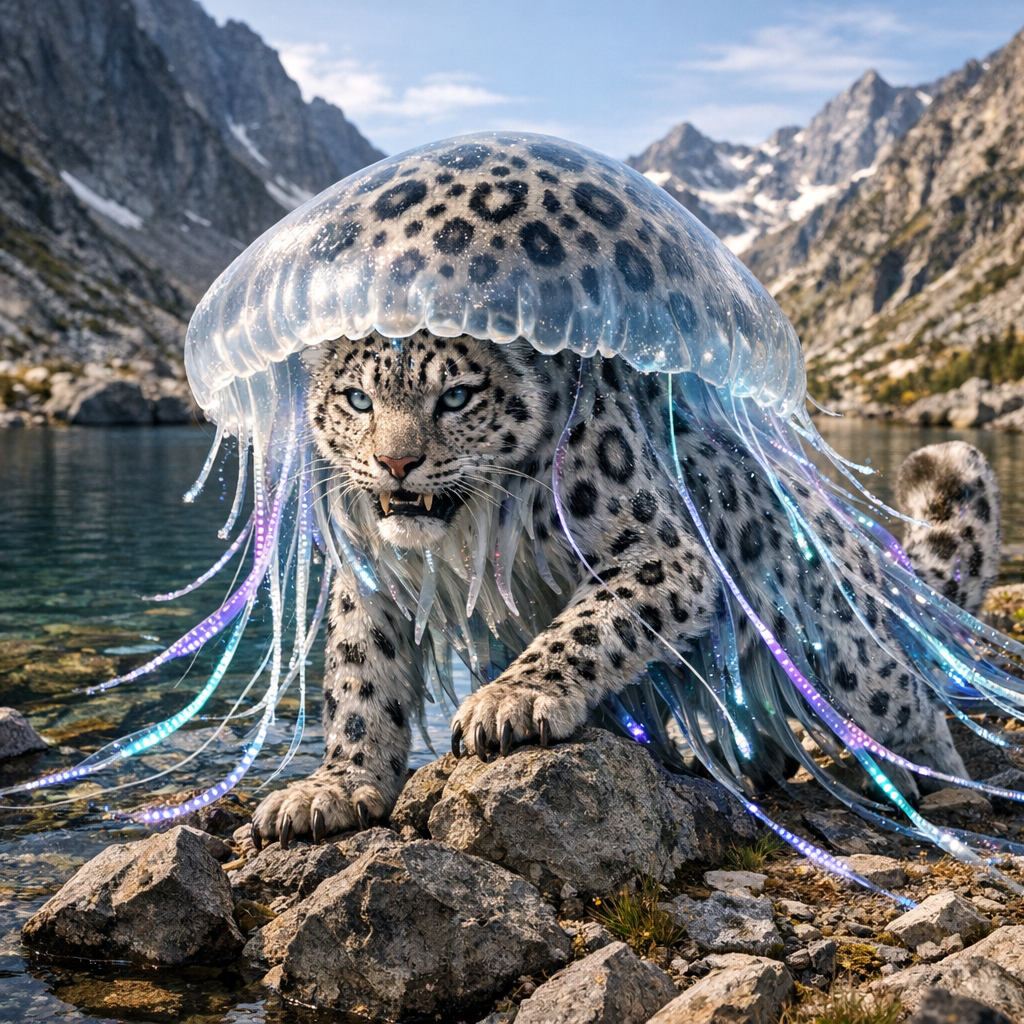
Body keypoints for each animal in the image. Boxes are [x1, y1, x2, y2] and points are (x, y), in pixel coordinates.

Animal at [250, 329, 996, 848]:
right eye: (358, 399)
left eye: (455, 395)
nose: (395, 464)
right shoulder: (367, 579)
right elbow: (359, 678)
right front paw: (333, 787)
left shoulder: (661, 555)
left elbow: (586, 625)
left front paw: (508, 701)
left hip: (844, 652)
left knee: (908, 696)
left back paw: (923, 781)